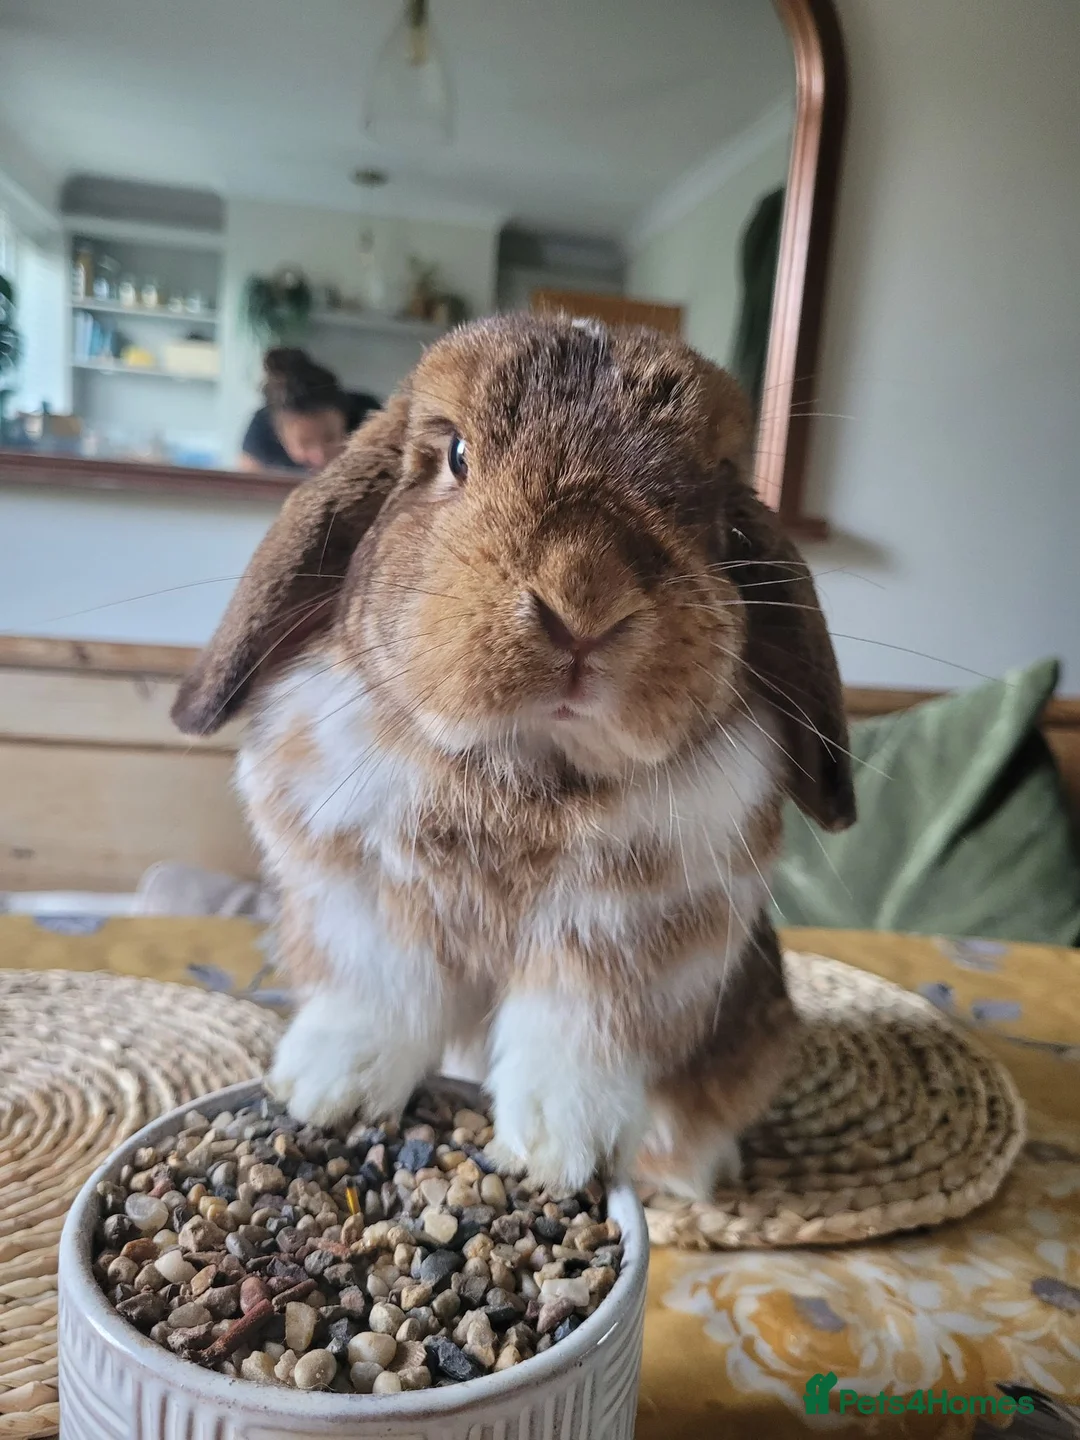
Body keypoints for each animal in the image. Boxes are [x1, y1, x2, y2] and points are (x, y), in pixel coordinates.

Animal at [172, 314, 854, 1201]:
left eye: (714, 498)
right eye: (457, 454)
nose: (584, 600)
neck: (524, 764)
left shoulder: (626, 942)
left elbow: (575, 1045)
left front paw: (561, 1155)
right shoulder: (364, 903)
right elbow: (377, 1002)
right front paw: (326, 1095)